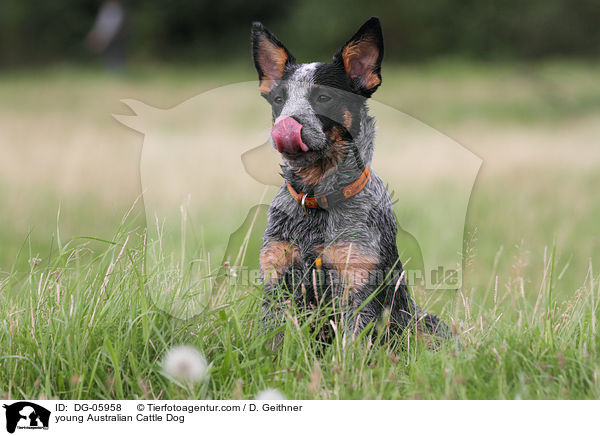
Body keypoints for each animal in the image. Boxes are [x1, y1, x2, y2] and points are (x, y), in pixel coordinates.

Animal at [251, 17, 448, 342]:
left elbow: (353, 340)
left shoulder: (357, 279)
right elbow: (273, 336)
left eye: (323, 97)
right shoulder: (277, 274)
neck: (316, 198)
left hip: (424, 323)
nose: (284, 126)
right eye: (279, 99)